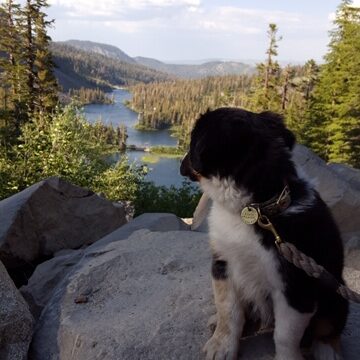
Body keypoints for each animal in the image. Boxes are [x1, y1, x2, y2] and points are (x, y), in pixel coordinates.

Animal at [180, 107, 348, 360]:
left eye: (191, 142)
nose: (181, 164)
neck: (253, 208)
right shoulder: (223, 264)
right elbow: (228, 310)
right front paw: (221, 345)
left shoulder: (295, 286)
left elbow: (285, 336)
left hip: (335, 289)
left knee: (330, 326)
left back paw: (327, 349)